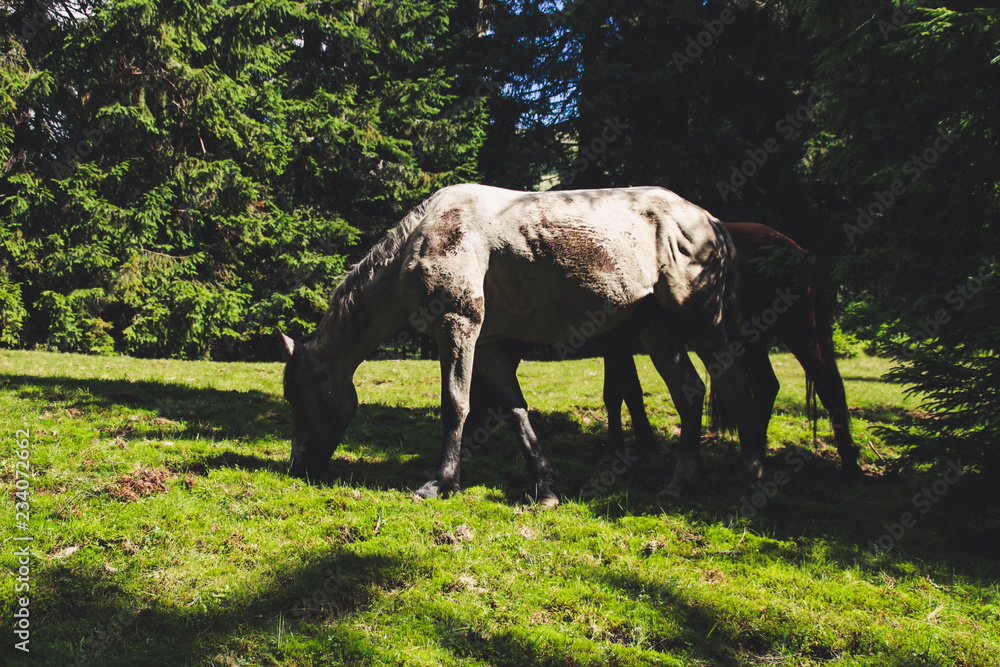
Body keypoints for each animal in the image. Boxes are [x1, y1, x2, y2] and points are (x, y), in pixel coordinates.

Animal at [280, 183, 764, 505]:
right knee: (690, 393)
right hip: (657, 330)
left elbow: (455, 404)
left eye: (297, 397)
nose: (298, 466)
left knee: (740, 389)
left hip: (701, 321)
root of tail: (711, 221)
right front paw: (544, 487)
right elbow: (515, 413)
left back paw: (752, 481)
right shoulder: (490, 348)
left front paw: (440, 482)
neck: (421, 239)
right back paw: (681, 483)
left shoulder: (459, 327)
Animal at [600, 222, 861, 474]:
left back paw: (849, 462)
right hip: (754, 338)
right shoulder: (622, 339)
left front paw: (617, 448)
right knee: (767, 384)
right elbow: (630, 390)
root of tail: (798, 249)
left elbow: (616, 392)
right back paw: (757, 452)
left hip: (797, 328)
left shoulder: (616, 339)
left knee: (827, 384)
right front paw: (641, 443)